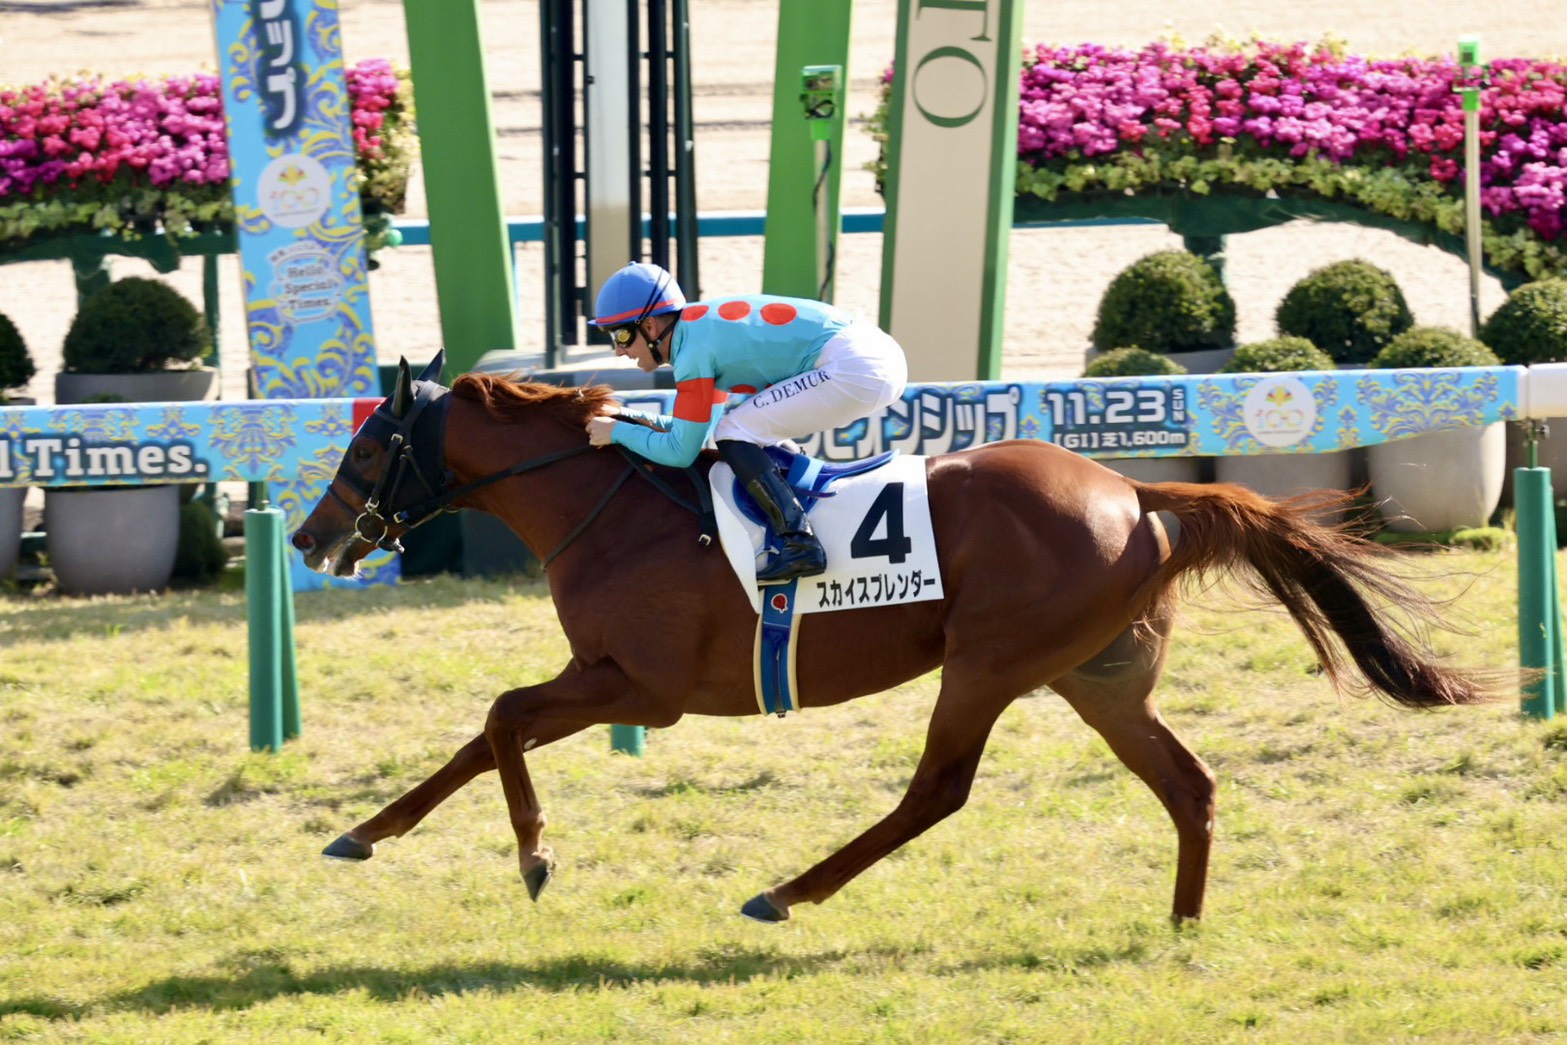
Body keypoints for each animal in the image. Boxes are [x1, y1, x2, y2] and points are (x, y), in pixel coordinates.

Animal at [291, 356, 1495, 924]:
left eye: (370, 445)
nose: (308, 537)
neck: (607, 504)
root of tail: (1138, 490)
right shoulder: (605, 679)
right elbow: (479, 735)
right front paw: (363, 832)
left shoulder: (640, 686)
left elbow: (500, 720)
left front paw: (535, 855)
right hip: (1098, 677)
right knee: (1186, 785)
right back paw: (1183, 923)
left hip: (990, 663)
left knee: (937, 793)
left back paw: (785, 891)